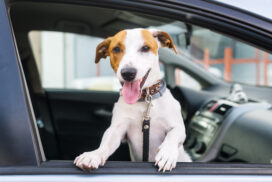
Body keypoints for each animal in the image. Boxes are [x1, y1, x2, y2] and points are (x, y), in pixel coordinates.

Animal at [74, 27, 191, 171]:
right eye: (116, 49)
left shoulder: (178, 127)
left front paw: (167, 154)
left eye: (145, 48)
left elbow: (173, 135)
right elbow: (106, 143)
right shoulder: (117, 129)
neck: (144, 100)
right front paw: (93, 155)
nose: (128, 73)